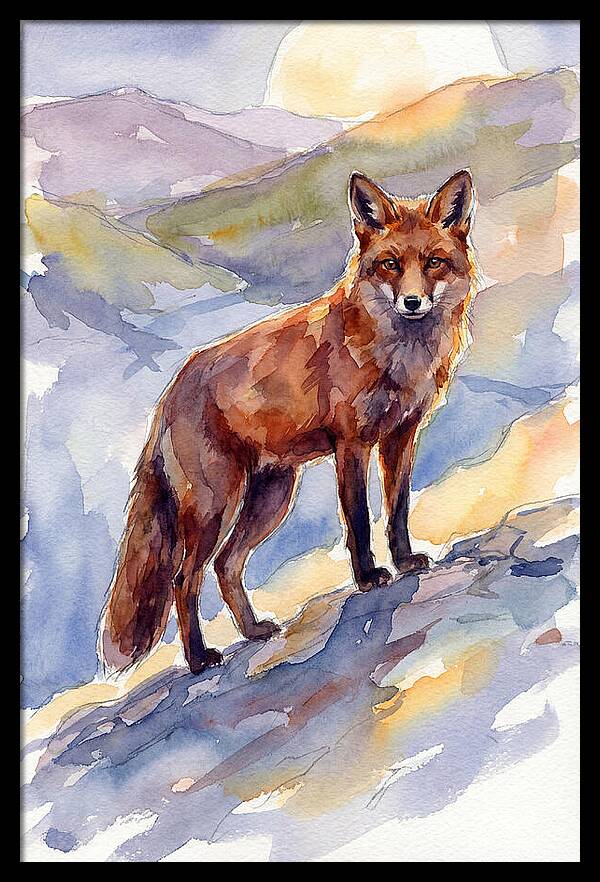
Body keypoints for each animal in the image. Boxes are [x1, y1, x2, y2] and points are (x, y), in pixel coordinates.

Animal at [100, 169, 478, 676]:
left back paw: (253, 631)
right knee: (184, 577)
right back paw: (199, 659)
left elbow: (396, 510)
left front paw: (404, 562)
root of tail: (172, 390)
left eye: (434, 262)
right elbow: (359, 519)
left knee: (226, 566)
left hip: (271, 497)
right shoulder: (351, 444)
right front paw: (367, 577)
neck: (398, 356)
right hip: (215, 504)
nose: (413, 302)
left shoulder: (401, 436)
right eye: (390, 265)